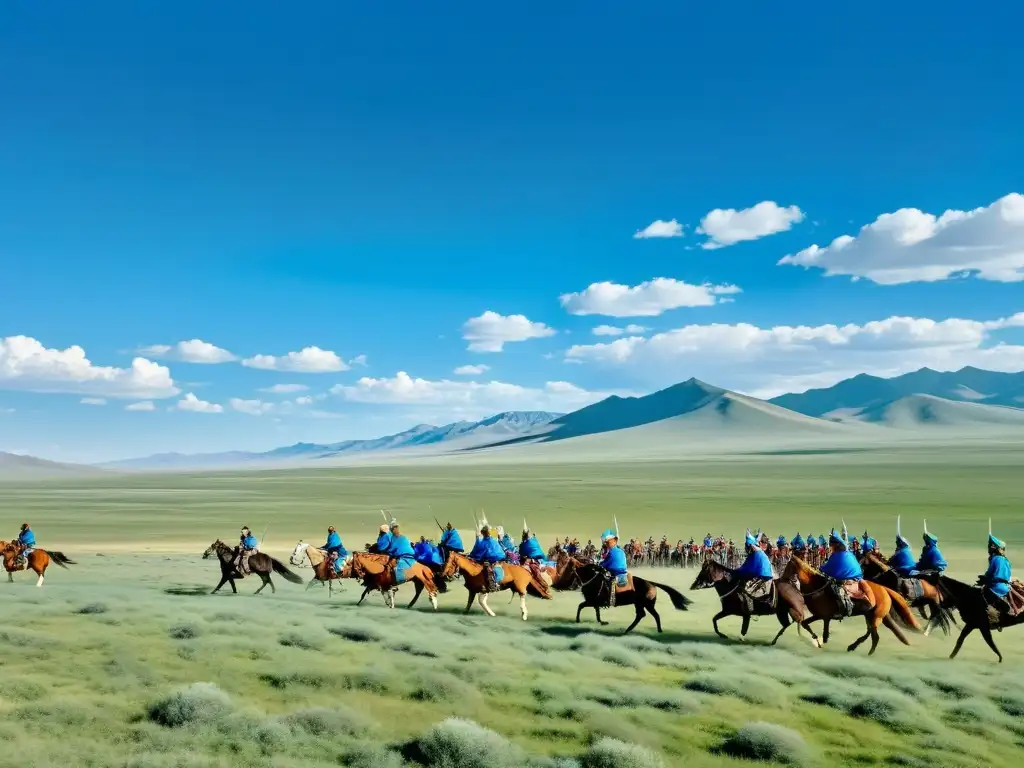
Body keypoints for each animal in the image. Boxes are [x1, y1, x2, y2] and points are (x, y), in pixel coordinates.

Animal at [548, 557, 692, 634]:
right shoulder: (595, 602)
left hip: (647, 604)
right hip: (639, 604)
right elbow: (596, 612)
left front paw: (578, 620)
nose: (557, 586)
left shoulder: (591, 601)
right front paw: (602, 621)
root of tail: (651, 583)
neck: (593, 579)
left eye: (568, 571)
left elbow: (580, 606)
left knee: (654, 615)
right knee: (641, 615)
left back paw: (658, 630)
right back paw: (628, 629)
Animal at [782, 557, 921, 659]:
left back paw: (866, 654)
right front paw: (815, 640)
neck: (816, 587)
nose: (782, 578)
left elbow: (821, 632)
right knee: (871, 632)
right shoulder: (821, 616)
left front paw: (818, 643)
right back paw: (853, 646)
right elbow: (807, 624)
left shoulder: (824, 616)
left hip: (875, 617)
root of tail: (885, 589)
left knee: (875, 637)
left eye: (788, 566)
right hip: (873, 616)